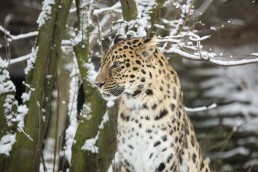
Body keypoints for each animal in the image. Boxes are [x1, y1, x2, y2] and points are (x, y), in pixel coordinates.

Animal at [94, 35, 210, 172]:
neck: (139, 103)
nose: (97, 83)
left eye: (117, 64)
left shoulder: (165, 158)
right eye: (102, 63)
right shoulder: (128, 158)